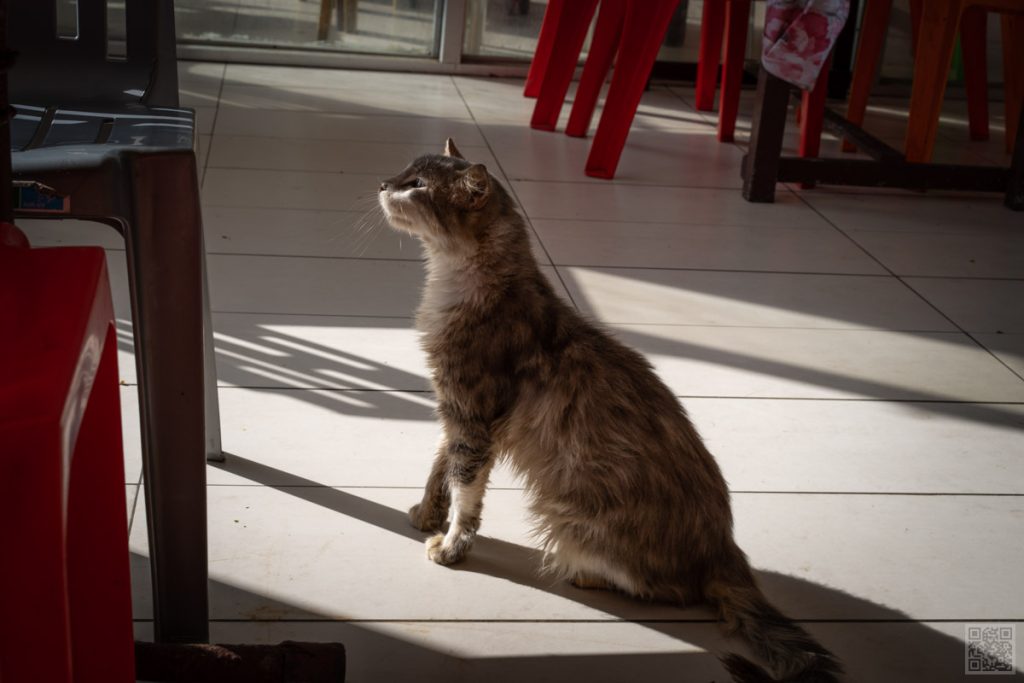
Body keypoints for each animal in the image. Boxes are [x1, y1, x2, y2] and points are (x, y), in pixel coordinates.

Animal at [376, 139, 839, 683]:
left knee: (671, 590)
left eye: (416, 186)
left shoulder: (473, 419)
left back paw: (585, 577)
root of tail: (724, 550)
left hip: (568, 517)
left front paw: (450, 546)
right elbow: (438, 470)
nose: (382, 184)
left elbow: (465, 493)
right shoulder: (453, 413)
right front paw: (426, 513)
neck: (455, 286)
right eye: (404, 172)